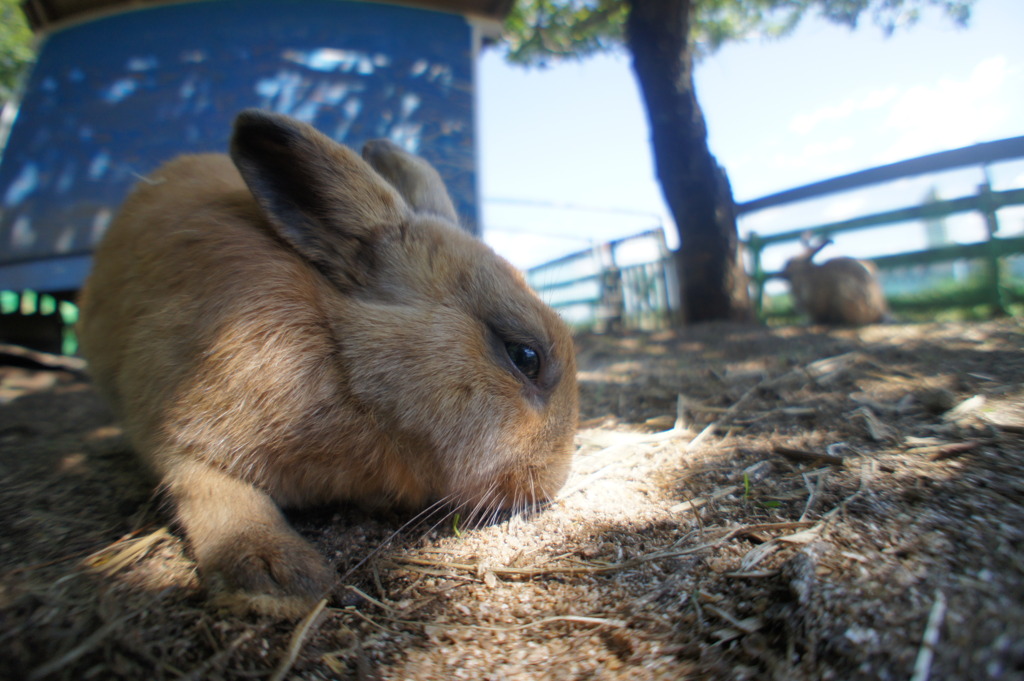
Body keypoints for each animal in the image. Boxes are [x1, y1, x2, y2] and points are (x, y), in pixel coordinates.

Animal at [75, 110, 581, 614]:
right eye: (525, 356)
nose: (553, 480)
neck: (343, 359)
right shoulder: (171, 424)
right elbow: (210, 489)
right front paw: (274, 578)